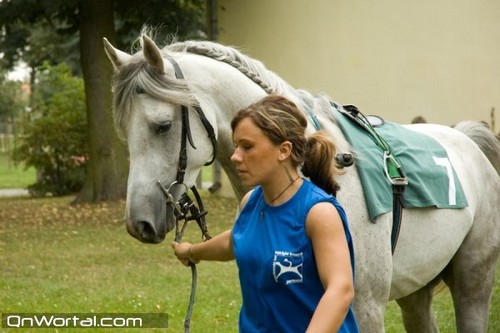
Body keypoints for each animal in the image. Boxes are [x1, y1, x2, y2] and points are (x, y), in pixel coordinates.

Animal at [103, 35, 498, 330]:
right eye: (122, 131)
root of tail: (466, 139)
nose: (139, 223)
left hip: (472, 285)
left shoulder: (365, 307)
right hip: (417, 292)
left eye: (162, 125)